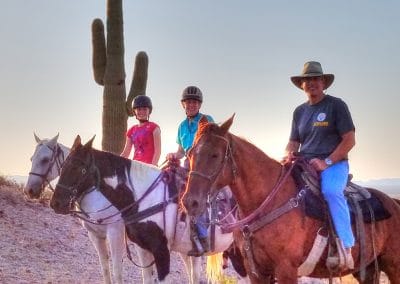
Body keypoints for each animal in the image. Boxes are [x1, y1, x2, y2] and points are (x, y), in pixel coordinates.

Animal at [25, 135, 238, 284]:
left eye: (45, 160)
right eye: (32, 158)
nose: (56, 203)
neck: (141, 197)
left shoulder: (123, 235)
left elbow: (117, 270)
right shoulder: (111, 239)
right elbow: (107, 268)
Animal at [183, 115, 400, 284]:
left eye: (215, 154)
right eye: (191, 153)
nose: (190, 202)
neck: (267, 202)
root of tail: (394, 202)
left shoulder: (286, 269)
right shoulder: (257, 272)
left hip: (393, 266)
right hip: (369, 268)